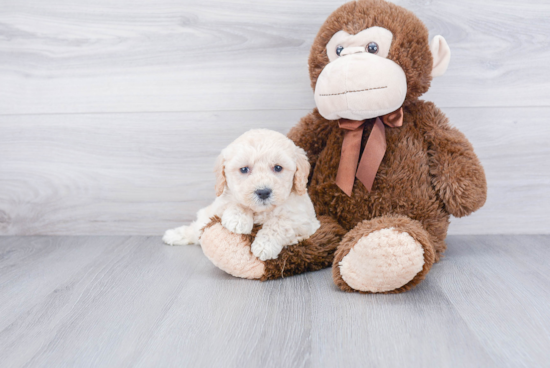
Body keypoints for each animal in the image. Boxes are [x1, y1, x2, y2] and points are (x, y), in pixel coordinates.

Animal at [162, 129, 322, 262]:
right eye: (244, 169)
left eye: (278, 168)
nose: (263, 192)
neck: (261, 211)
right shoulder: (220, 203)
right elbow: (234, 202)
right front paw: (238, 219)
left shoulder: (304, 221)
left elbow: (279, 223)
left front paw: (264, 246)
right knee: (197, 227)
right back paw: (173, 234)